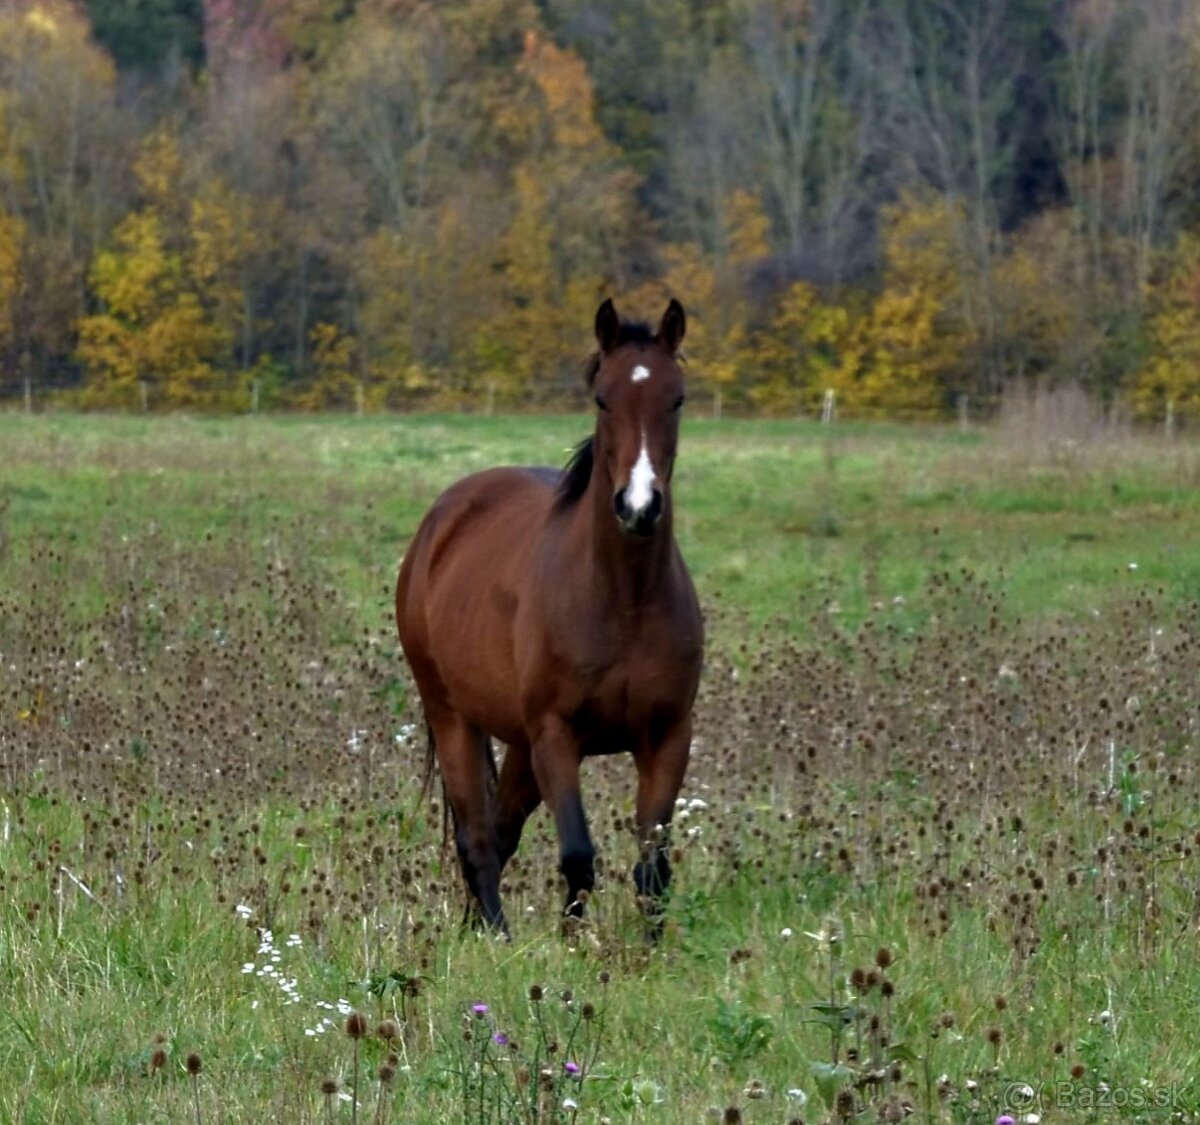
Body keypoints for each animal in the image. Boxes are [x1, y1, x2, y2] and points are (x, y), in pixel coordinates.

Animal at [395, 298, 703, 937]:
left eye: (678, 399)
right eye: (603, 398)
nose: (639, 507)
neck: (623, 599)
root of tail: (441, 521)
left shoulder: (668, 736)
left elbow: (653, 869)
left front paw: (646, 951)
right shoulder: (557, 736)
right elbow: (578, 855)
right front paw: (572, 946)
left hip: (518, 742)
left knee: (501, 829)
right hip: (453, 716)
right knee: (477, 837)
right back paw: (495, 935)